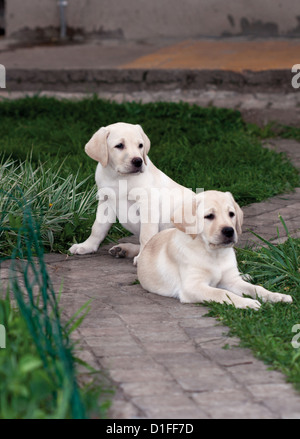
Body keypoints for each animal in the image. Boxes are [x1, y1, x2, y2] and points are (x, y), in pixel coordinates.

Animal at [137, 191, 292, 312]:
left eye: (231, 214)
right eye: (209, 216)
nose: (229, 231)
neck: (213, 253)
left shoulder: (231, 281)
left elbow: (256, 289)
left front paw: (276, 296)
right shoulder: (192, 286)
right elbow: (222, 293)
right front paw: (247, 302)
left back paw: (247, 276)